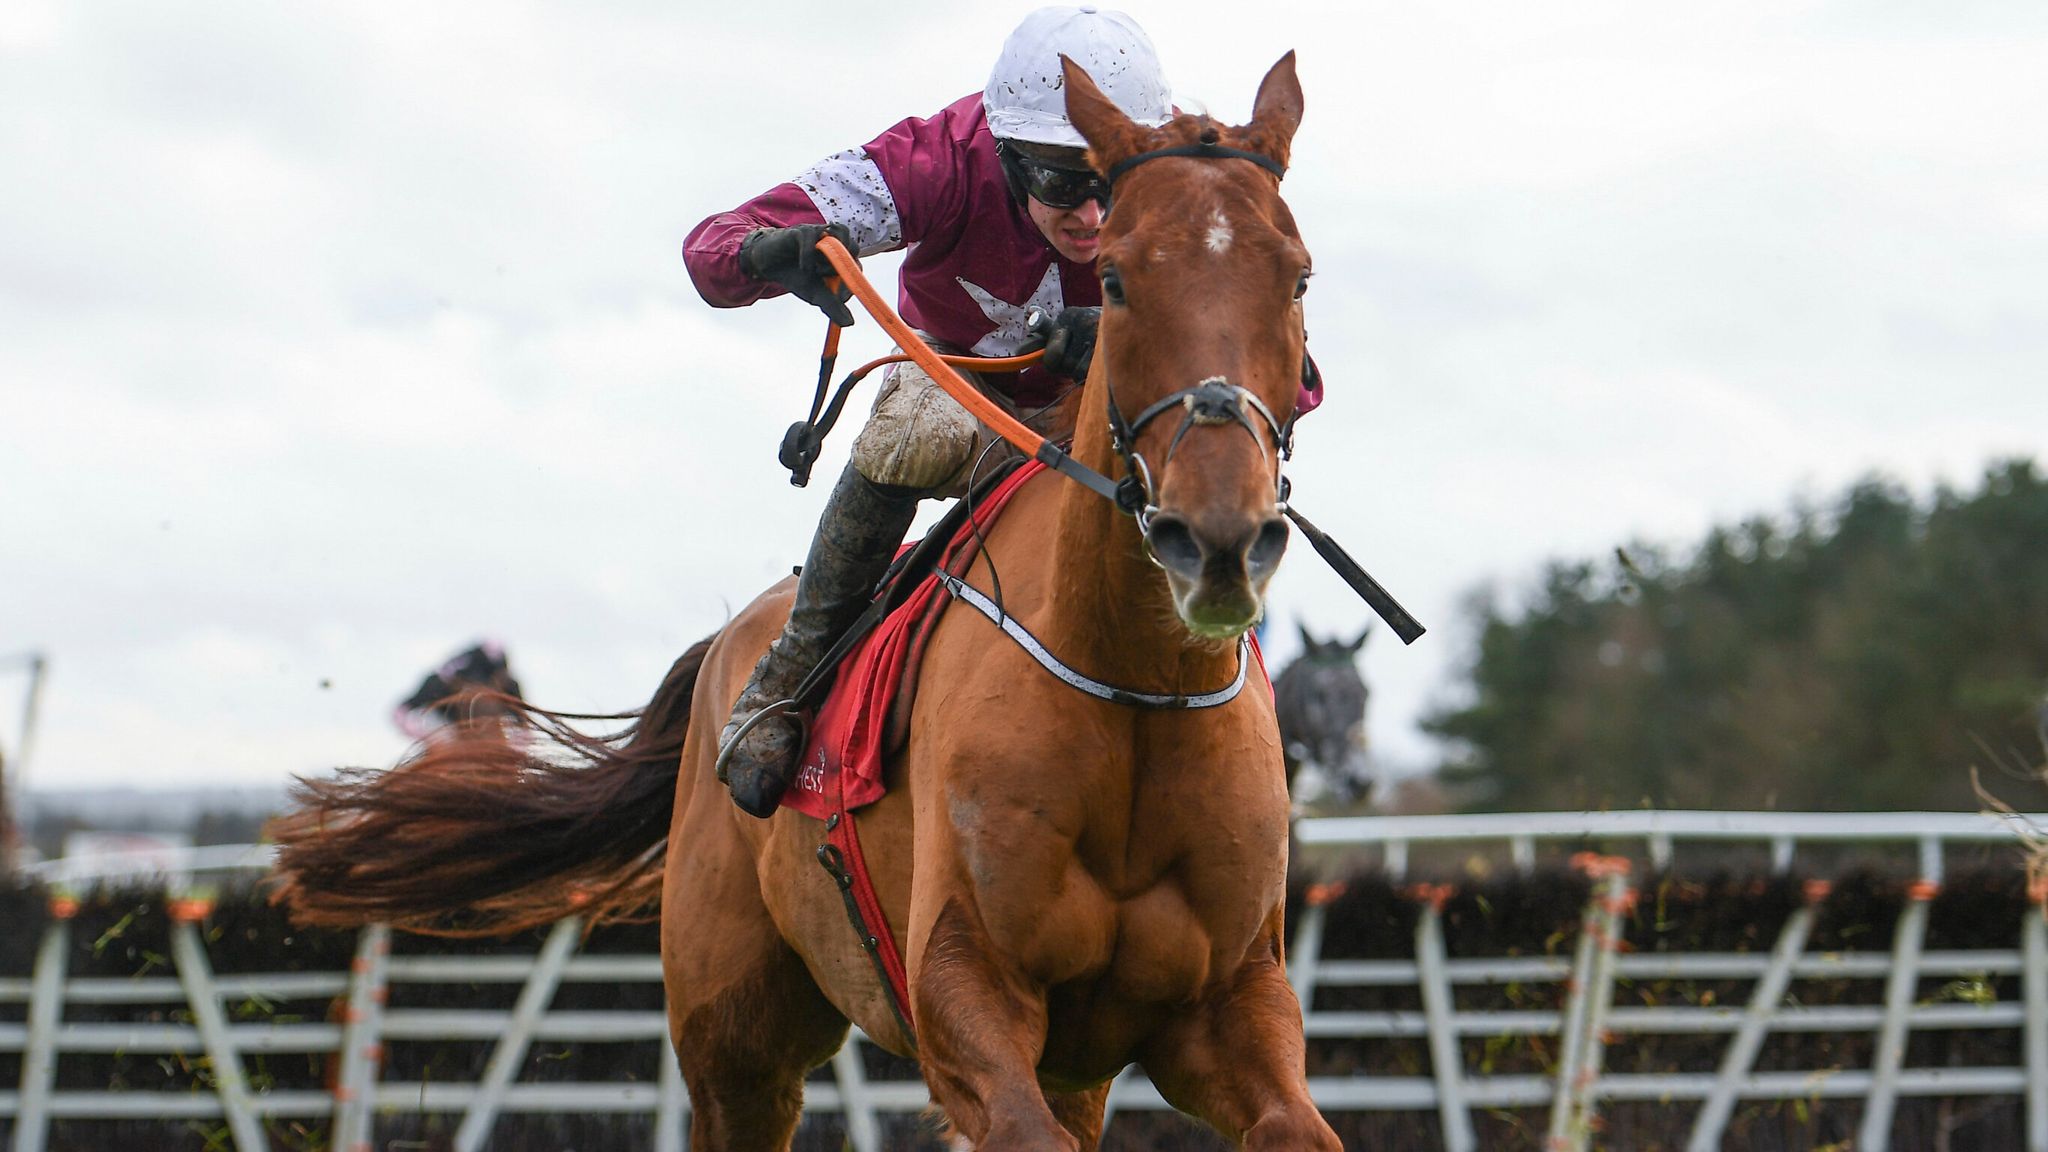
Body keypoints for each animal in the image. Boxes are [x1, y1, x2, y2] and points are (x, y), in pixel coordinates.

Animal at [270, 54, 1341, 1152]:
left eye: (1297, 276)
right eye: (1119, 279)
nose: (1216, 536)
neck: (1131, 687)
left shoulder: (1229, 1006)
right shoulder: (962, 989)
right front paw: (782, 245)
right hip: (733, 1035)